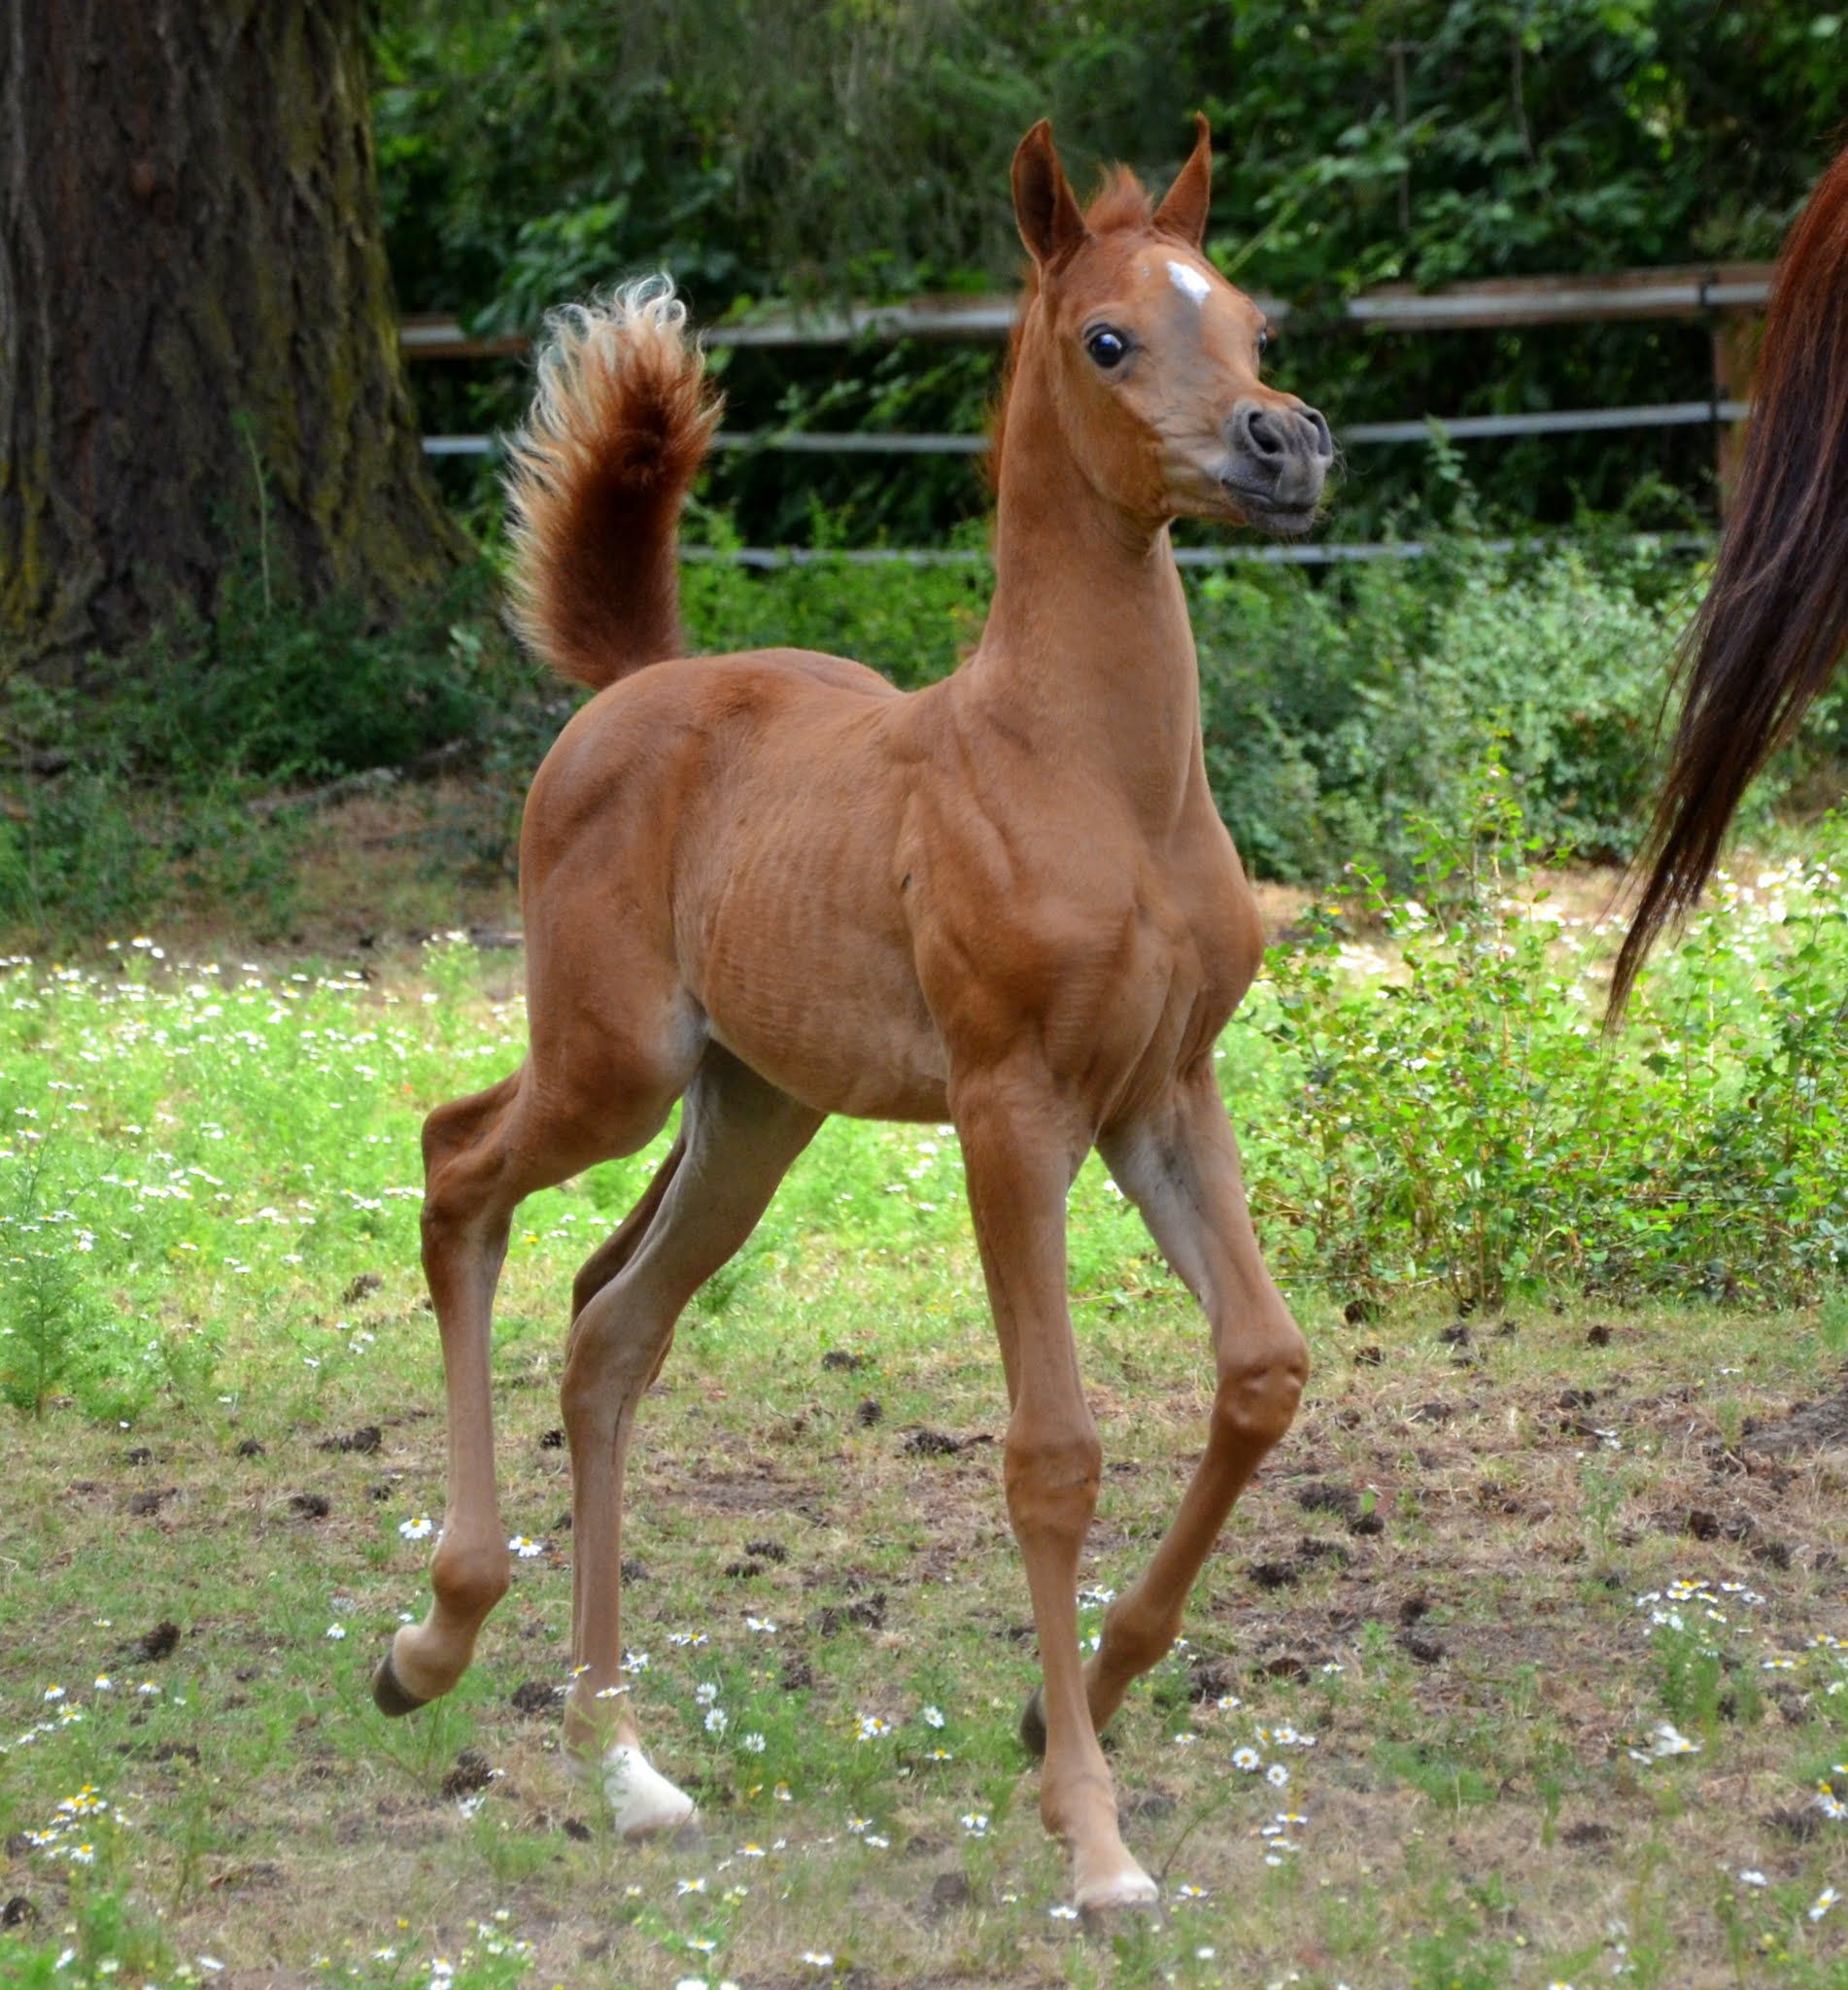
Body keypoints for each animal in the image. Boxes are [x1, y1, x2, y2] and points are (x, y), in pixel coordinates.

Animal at [371, 116, 1334, 1914]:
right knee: (458, 1168)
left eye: (1249, 320)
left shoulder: (1164, 1093)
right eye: (1109, 339)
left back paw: (622, 1765)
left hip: (754, 1108)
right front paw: (1094, 1835)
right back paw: (432, 1641)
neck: (1090, 774)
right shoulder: (1012, 1108)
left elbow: (1259, 1370)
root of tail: (638, 683)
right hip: (615, 1063)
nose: (1282, 444)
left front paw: (1074, 1708)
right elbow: (1050, 1452)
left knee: (610, 1325)